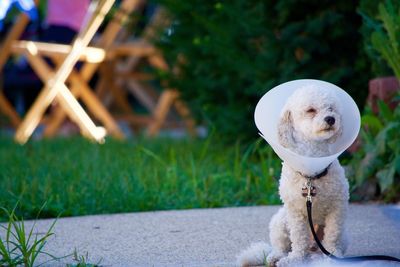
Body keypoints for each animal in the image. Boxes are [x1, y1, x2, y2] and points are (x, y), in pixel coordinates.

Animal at [239, 86, 348, 267]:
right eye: (310, 110)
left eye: (331, 108)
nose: (331, 119)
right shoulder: (296, 211)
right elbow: (298, 237)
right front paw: (295, 259)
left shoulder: (337, 208)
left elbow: (333, 234)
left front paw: (333, 256)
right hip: (279, 221)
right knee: (281, 246)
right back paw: (277, 257)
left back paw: (317, 257)